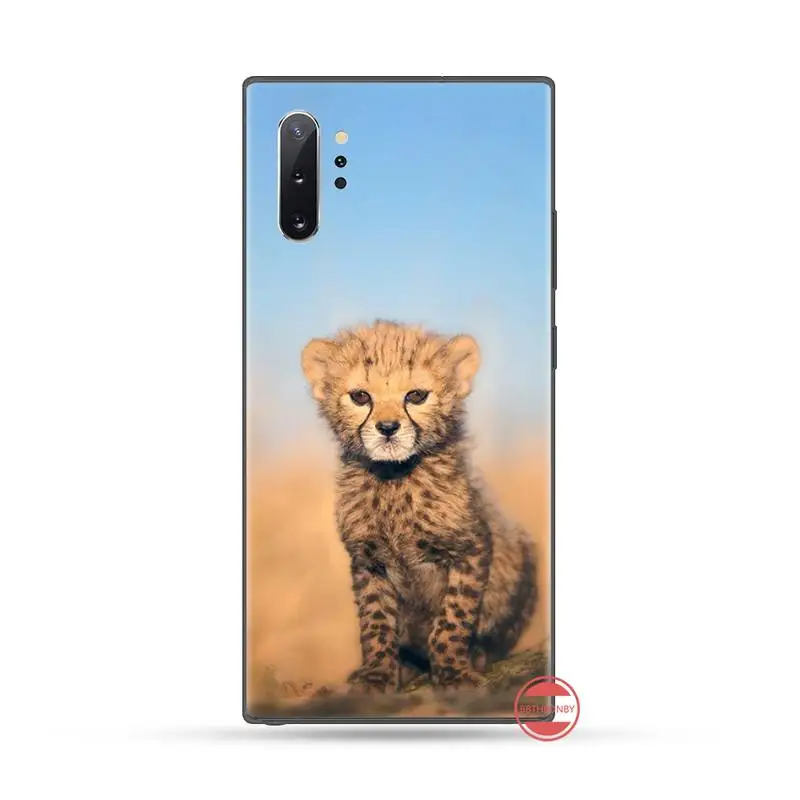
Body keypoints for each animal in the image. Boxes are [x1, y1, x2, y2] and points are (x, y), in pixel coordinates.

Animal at [301, 320, 537, 692]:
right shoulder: (368, 560)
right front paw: (378, 674)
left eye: (416, 396)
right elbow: (375, 621)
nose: (387, 428)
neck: (395, 478)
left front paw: (452, 671)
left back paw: (478, 654)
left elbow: (453, 616)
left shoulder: (470, 548)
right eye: (360, 396)